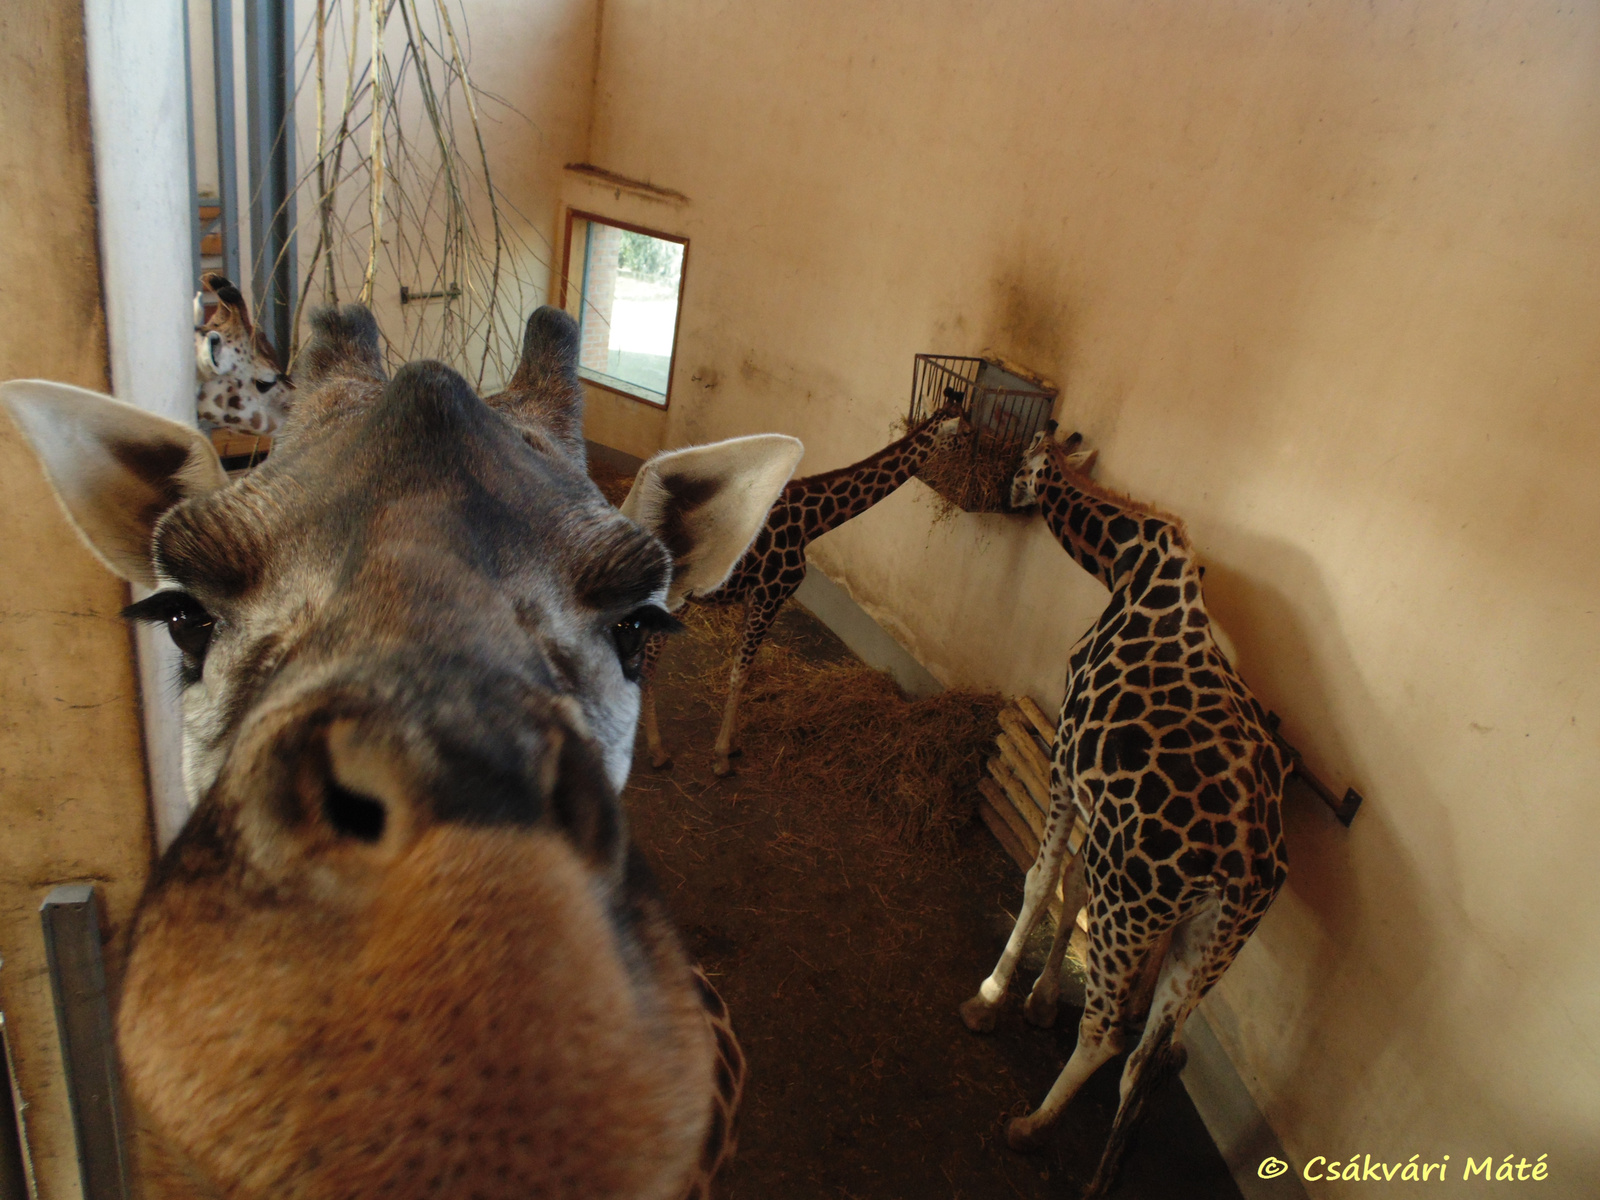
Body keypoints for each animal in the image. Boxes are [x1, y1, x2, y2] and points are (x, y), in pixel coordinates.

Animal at [633, 404, 960, 780]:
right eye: (965, 434)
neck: (812, 523)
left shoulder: (755, 598)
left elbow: (744, 670)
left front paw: (732, 745)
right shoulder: (771, 596)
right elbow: (740, 674)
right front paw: (721, 757)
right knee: (646, 662)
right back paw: (657, 751)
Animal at [960, 428, 1286, 1196]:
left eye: (1024, 464)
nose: (1008, 492)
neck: (1127, 562)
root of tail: (1249, 868)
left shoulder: (1064, 762)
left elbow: (1042, 880)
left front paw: (991, 997)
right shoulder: (1101, 822)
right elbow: (1074, 884)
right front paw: (1041, 1000)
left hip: (1141, 901)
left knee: (1109, 1030)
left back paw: (1027, 1128)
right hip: (1212, 938)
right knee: (1146, 1059)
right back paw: (1095, 1177)